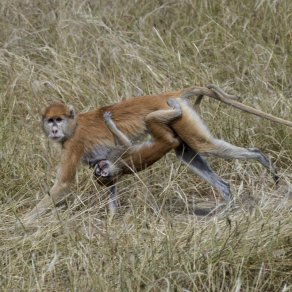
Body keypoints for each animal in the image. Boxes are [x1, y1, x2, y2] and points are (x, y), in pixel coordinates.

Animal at [21, 84, 292, 224]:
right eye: (49, 120)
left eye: (58, 120)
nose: (54, 130)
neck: (74, 124)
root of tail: (167, 95)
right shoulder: (103, 163)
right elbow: (110, 181)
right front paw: (113, 218)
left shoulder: (73, 144)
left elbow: (63, 184)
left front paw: (22, 222)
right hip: (176, 124)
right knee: (187, 153)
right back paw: (226, 199)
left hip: (178, 117)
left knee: (206, 145)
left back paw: (261, 158)